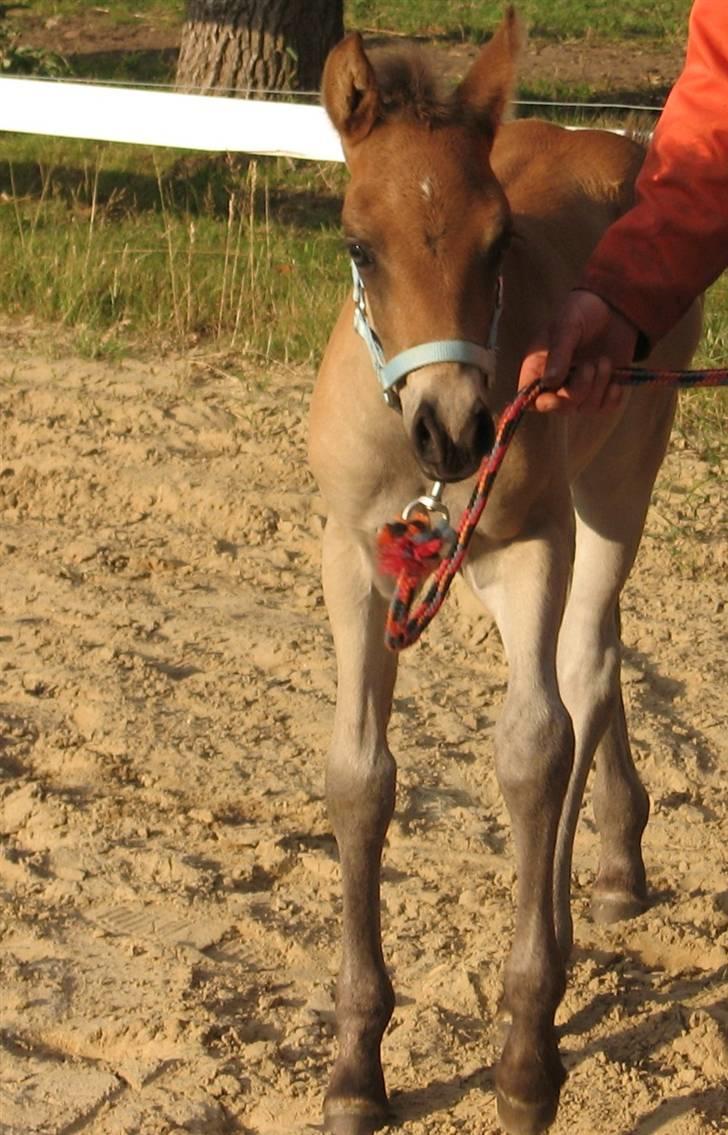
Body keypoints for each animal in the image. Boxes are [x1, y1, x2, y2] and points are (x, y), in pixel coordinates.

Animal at [308, 11, 699, 1135]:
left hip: (612, 485)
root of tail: (607, 140)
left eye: (498, 242)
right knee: (594, 661)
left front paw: (527, 1053)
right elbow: (360, 777)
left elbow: (532, 750)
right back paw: (613, 863)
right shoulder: (355, 559)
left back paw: (581, 900)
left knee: (586, 670)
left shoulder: (532, 547)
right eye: (356, 243)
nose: (455, 431)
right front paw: (357, 1064)